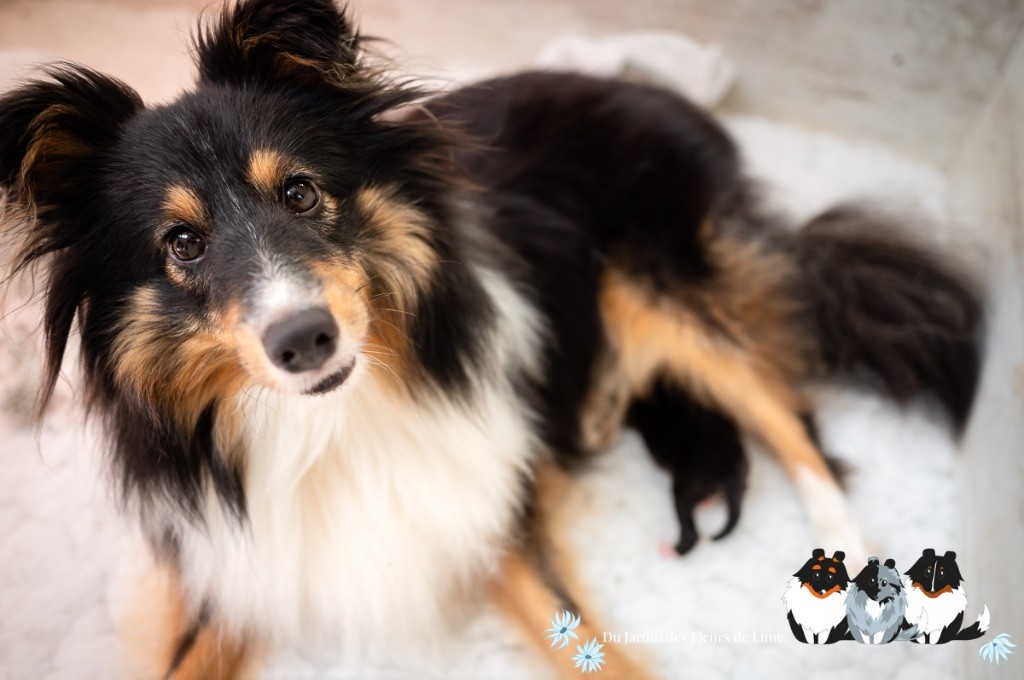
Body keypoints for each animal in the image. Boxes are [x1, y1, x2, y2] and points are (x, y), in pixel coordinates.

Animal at [0, 0, 983, 675]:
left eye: (301, 192)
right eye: (183, 243)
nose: (304, 340)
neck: (334, 424)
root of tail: (649, 92)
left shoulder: (488, 508)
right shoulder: (233, 567)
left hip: (653, 281)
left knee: (789, 409)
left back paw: (841, 543)